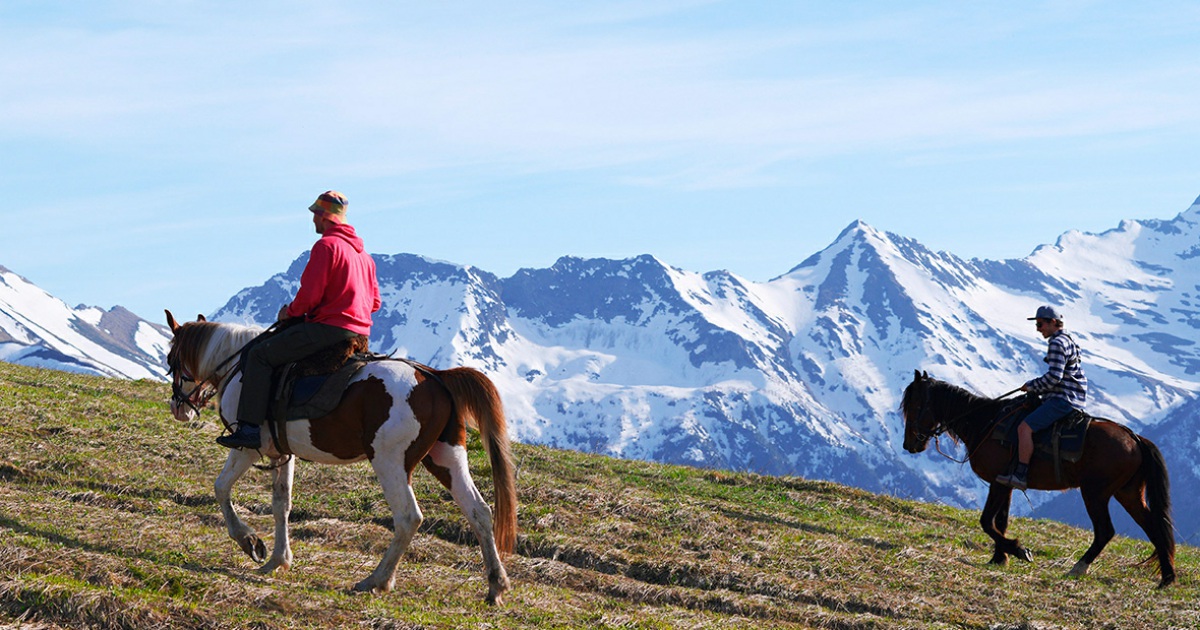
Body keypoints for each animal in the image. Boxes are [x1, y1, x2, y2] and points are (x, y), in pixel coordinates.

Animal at [164, 309, 516, 604]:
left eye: (171, 357)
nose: (178, 408)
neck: (238, 366)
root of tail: (436, 376)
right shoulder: (282, 453)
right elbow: (281, 504)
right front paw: (278, 559)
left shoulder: (245, 447)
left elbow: (221, 487)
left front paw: (249, 542)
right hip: (447, 460)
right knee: (479, 512)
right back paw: (495, 584)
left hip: (390, 462)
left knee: (408, 517)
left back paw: (377, 579)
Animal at [902, 369, 1171, 585]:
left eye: (914, 407)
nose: (909, 445)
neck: (985, 422)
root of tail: (1136, 439)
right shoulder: (1006, 483)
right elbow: (1000, 522)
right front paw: (1000, 558)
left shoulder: (997, 484)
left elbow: (987, 521)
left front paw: (1018, 550)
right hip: (1128, 493)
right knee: (1154, 526)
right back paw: (1167, 577)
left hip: (1095, 493)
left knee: (1105, 531)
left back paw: (1078, 568)